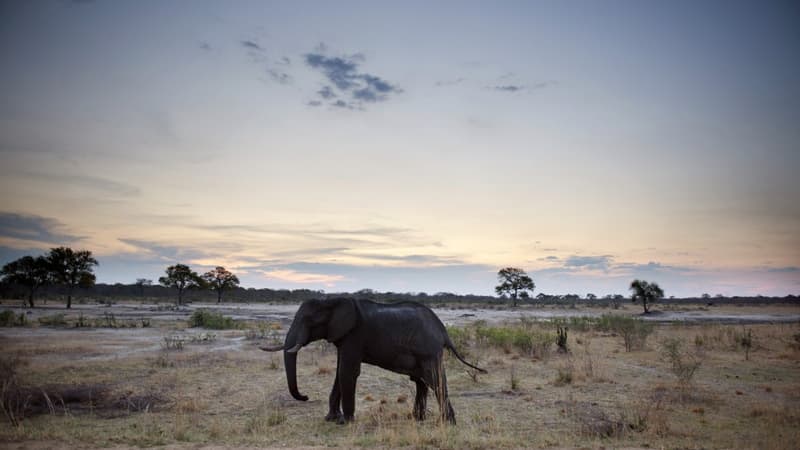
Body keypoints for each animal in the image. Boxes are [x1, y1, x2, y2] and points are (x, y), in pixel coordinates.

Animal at [260, 298, 488, 424]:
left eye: (308, 320)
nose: (306, 396)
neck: (333, 300)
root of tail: (443, 330)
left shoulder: (355, 335)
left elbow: (348, 372)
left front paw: (345, 422)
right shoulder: (343, 338)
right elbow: (340, 372)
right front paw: (331, 419)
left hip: (429, 352)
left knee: (435, 380)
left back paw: (448, 423)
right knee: (422, 382)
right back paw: (418, 419)